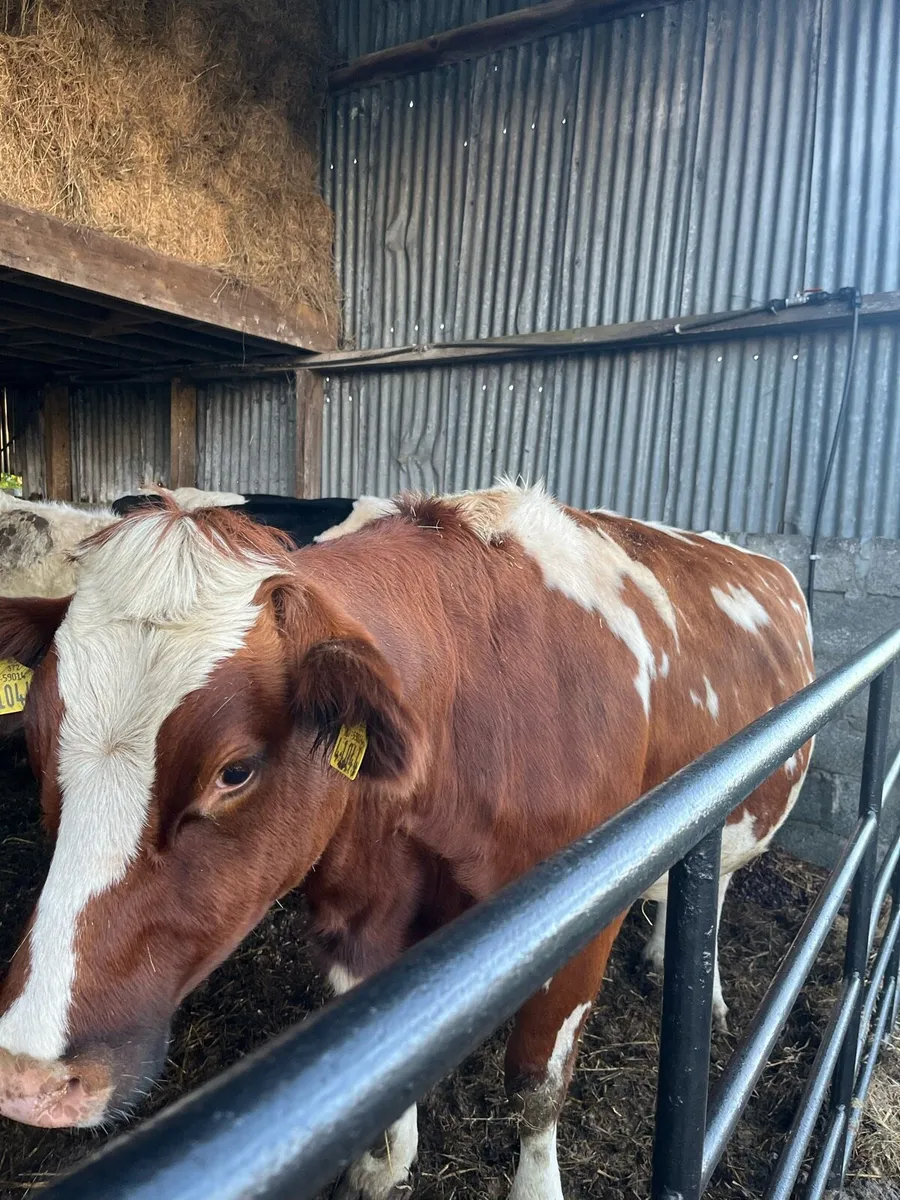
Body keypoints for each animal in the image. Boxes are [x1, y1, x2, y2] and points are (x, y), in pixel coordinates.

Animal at [0, 483, 813, 1200]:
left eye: (234, 770)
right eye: (35, 739)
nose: (30, 1075)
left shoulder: (588, 913)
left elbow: (537, 1084)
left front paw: (535, 1185)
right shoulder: (359, 907)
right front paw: (383, 1166)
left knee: (716, 882)